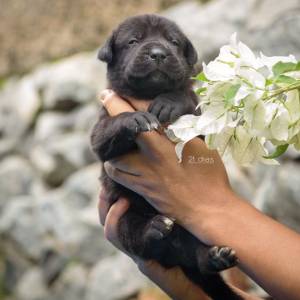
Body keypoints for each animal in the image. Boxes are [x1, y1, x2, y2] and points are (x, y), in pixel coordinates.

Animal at [91, 14, 241, 300]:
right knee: (140, 239)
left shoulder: (201, 123)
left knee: (197, 258)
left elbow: (186, 96)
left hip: (197, 233)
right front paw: (135, 118)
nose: (158, 53)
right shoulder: (100, 134)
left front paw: (168, 102)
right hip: (124, 217)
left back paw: (214, 257)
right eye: (133, 41)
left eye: (173, 42)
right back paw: (155, 229)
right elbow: (112, 126)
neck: (148, 94)